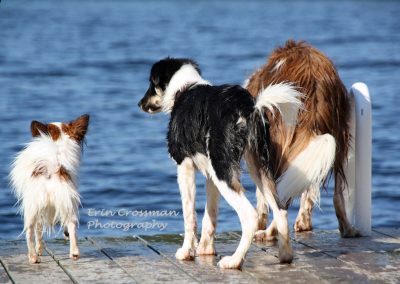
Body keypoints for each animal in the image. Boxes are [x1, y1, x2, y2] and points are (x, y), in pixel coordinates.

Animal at [9, 113, 89, 264]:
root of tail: (52, 170)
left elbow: (39, 231)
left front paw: (39, 249)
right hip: (67, 202)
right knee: (70, 225)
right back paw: (73, 253)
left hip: (36, 205)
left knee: (31, 230)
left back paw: (34, 256)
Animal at [138, 58, 300, 268]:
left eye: (152, 84)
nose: (140, 103)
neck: (184, 88)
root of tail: (247, 108)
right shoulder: (210, 174)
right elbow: (210, 215)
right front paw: (205, 250)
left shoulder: (184, 166)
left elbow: (189, 215)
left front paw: (186, 252)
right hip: (256, 167)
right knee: (280, 209)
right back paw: (285, 256)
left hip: (224, 172)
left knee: (250, 216)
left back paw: (234, 261)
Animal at [244, 40, 360, 239]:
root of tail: (313, 79)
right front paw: (304, 222)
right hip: (338, 137)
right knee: (337, 194)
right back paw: (347, 229)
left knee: (280, 200)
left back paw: (269, 232)